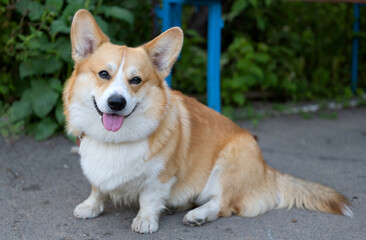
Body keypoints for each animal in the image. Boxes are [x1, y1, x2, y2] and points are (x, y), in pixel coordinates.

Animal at [63, 9, 352, 234]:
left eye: (136, 80)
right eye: (103, 74)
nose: (116, 103)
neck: (114, 140)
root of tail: (266, 169)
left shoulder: (162, 177)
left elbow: (149, 198)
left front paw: (145, 221)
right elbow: (97, 188)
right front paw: (90, 206)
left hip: (227, 165)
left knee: (223, 205)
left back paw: (197, 215)